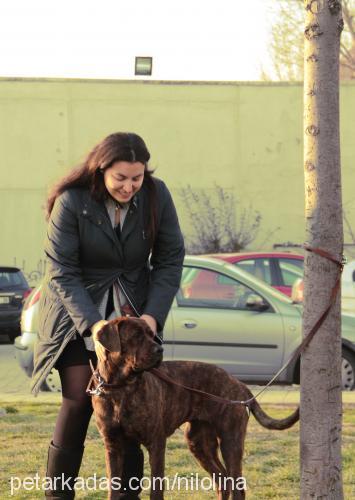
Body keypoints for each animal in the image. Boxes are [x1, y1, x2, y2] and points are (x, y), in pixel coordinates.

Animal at [90, 318, 298, 498]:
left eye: (151, 334)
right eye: (135, 335)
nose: (160, 349)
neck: (120, 388)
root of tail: (240, 384)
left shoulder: (156, 443)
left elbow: (156, 489)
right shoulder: (112, 445)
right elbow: (113, 487)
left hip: (231, 441)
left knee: (237, 486)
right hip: (199, 443)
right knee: (223, 481)